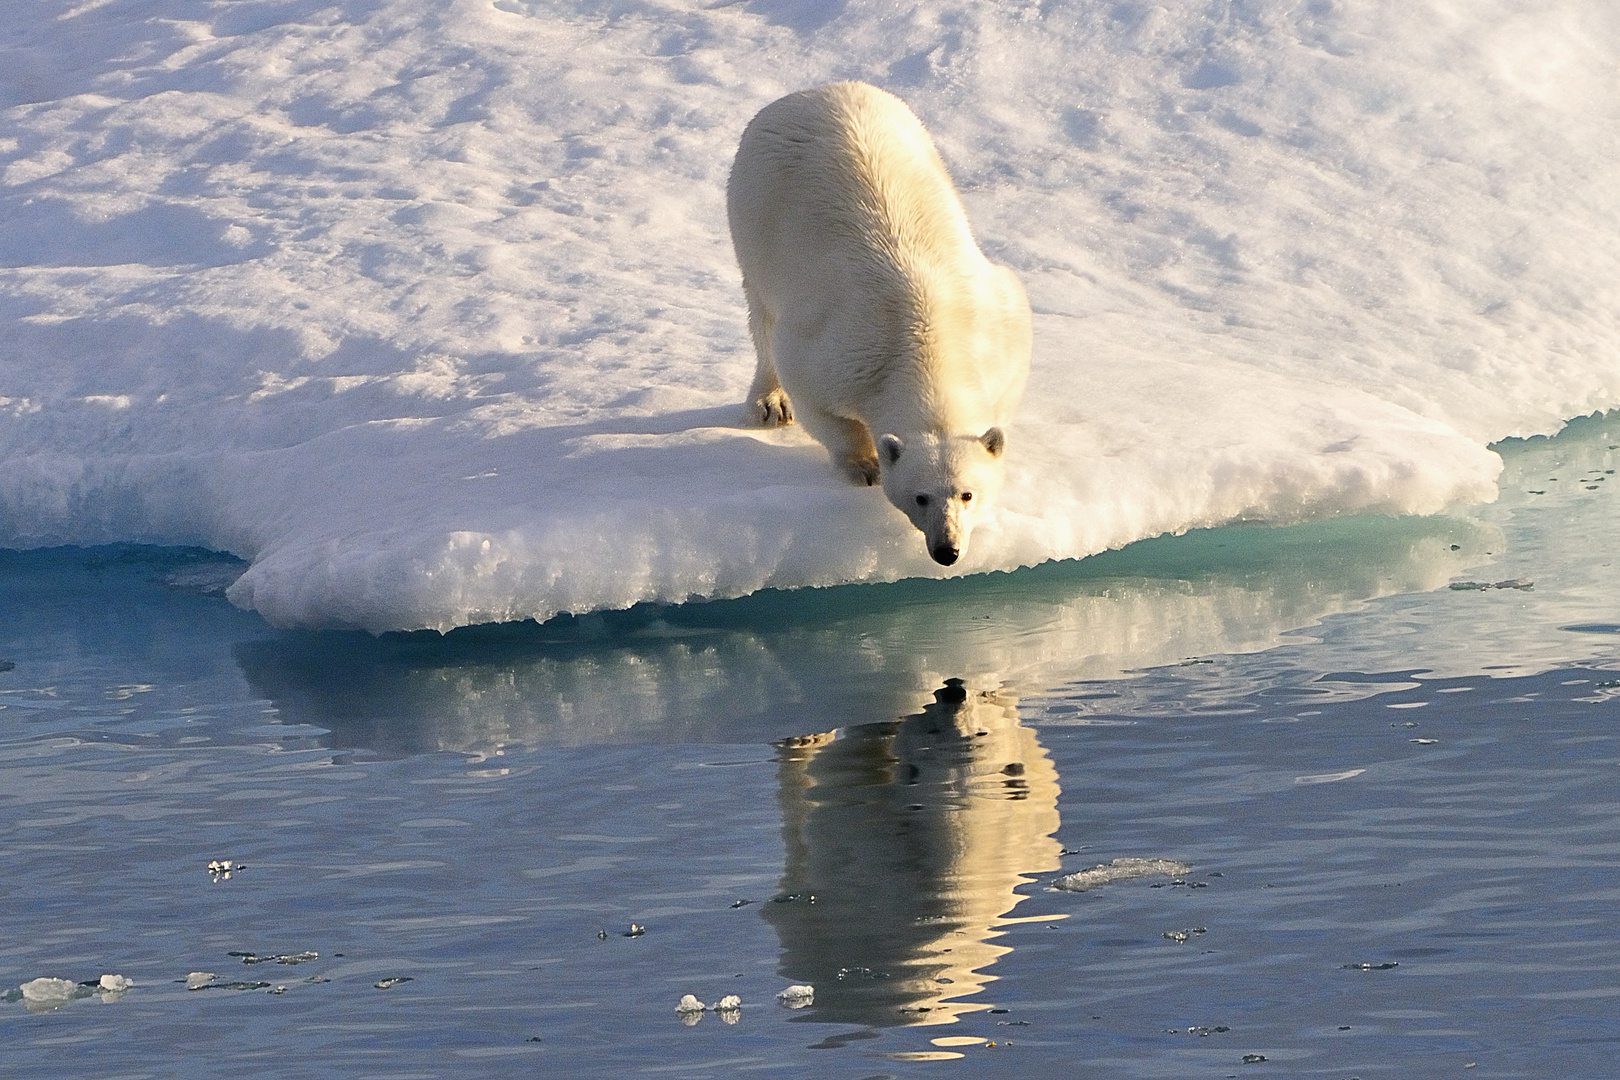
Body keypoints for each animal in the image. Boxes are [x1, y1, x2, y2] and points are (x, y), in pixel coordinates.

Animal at [729, 81, 1030, 569]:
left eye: (967, 494)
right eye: (920, 496)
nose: (947, 550)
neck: (928, 341)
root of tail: (812, 92)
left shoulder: (998, 325)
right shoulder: (838, 347)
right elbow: (813, 392)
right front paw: (864, 465)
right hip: (754, 211)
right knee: (762, 313)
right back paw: (769, 402)